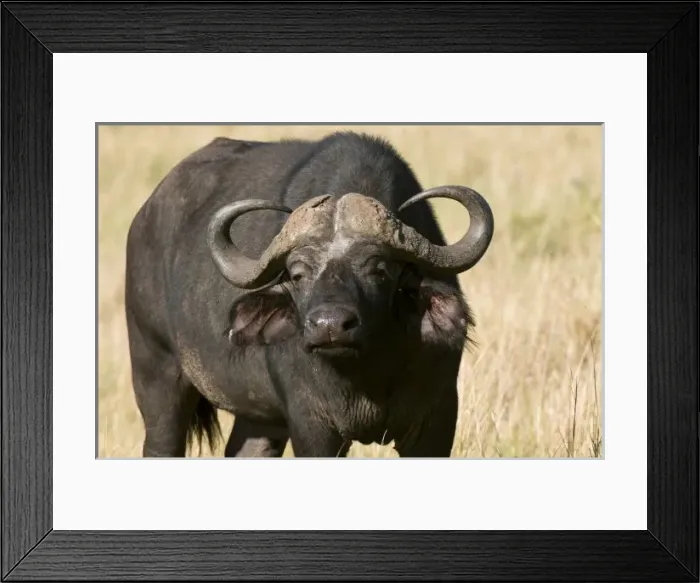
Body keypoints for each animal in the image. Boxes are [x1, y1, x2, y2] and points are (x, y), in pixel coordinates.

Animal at [124, 131, 494, 457]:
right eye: (298, 274)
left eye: (379, 269)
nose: (329, 326)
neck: (368, 371)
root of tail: (144, 218)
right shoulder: (313, 424)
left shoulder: (436, 418)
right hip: (156, 376)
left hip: (260, 418)